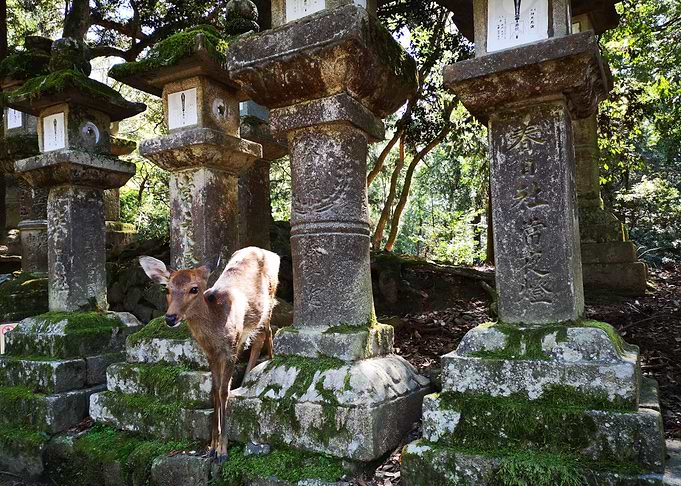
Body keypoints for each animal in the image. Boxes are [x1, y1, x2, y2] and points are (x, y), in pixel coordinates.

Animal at [139, 246, 280, 462]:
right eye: (167, 289)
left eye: (194, 289)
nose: (170, 318)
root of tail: (270, 252)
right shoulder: (210, 354)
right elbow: (213, 391)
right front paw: (211, 448)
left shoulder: (230, 349)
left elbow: (223, 391)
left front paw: (222, 451)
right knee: (258, 338)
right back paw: (247, 378)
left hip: (270, 302)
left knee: (268, 333)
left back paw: (270, 363)